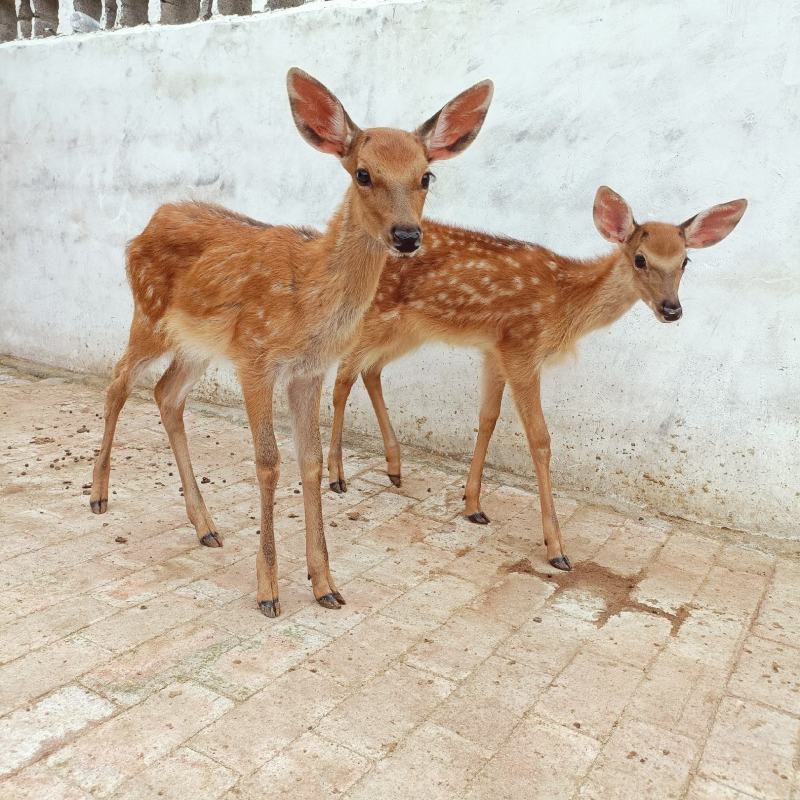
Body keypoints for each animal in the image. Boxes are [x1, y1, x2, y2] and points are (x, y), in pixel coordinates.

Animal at [89, 68, 494, 617]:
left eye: (426, 176)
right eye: (362, 173)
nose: (408, 236)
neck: (309, 300)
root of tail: (145, 226)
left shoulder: (308, 371)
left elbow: (312, 461)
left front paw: (325, 584)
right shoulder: (255, 357)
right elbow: (268, 461)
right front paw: (268, 591)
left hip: (196, 344)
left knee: (165, 393)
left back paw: (206, 526)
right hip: (148, 314)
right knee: (117, 381)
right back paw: (99, 495)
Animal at [327, 186, 747, 570]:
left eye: (685, 260)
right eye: (640, 259)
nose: (671, 309)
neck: (564, 303)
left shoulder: (494, 349)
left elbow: (488, 419)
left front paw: (473, 505)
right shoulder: (522, 347)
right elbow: (540, 439)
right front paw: (556, 548)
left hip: (409, 328)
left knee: (370, 369)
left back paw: (394, 469)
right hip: (375, 313)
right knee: (342, 375)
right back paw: (337, 477)